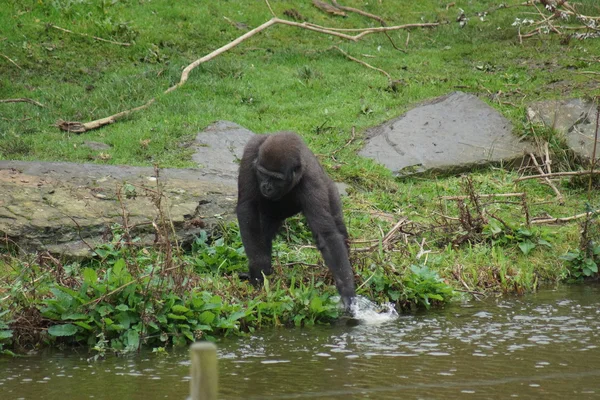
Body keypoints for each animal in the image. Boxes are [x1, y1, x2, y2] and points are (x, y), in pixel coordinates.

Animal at [236, 133, 356, 310]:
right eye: (263, 173)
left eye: (276, 178)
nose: (266, 186)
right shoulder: (250, 152)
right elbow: (247, 207)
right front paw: (259, 267)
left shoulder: (311, 180)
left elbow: (326, 235)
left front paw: (346, 287)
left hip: (330, 188)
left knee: (338, 225)